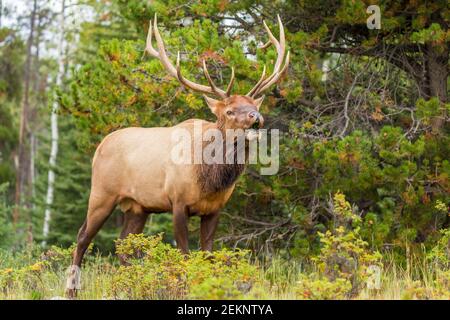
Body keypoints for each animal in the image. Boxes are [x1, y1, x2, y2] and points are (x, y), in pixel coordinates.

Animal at [66, 15, 288, 298]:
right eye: (229, 111)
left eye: (252, 105)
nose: (256, 117)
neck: (210, 178)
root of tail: (99, 147)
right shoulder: (178, 202)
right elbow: (183, 256)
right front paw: (183, 290)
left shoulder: (214, 209)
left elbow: (207, 256)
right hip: (102, 193)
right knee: (83, 236)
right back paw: (72, 290)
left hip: (137, 206)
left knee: (122, 244)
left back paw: (130, 288)